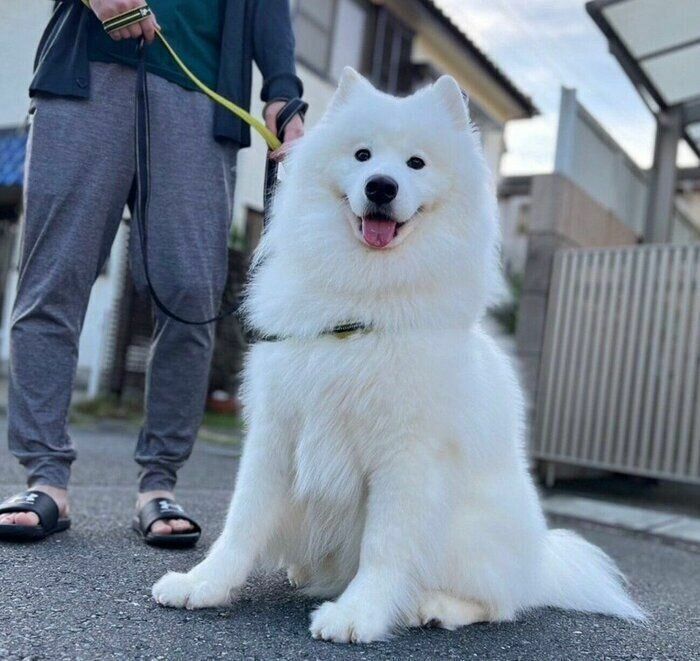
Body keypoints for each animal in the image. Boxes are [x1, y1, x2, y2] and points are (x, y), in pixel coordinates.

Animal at [153, 67, 644, 640]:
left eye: (416, 163)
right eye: (363, 155)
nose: (381, 186)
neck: (360, 306)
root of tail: (541, 563)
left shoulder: (406, 456)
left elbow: (385, 546)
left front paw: (358, 614)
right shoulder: (277, 434)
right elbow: (241, 523)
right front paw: (202, 584)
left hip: (471, 530)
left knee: (500, 601)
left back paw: (433, 607)